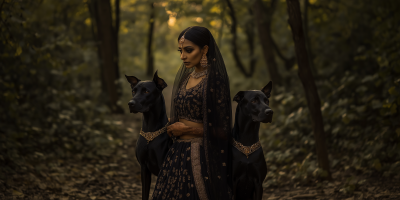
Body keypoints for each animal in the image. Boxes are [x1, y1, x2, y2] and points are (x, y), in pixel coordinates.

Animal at [125, 71, 172, 200]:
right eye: (133, 91)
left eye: (146, 91)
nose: (130, 104)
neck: (150, 132)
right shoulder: (144, 168)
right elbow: (144, 194)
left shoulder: (163, 169)